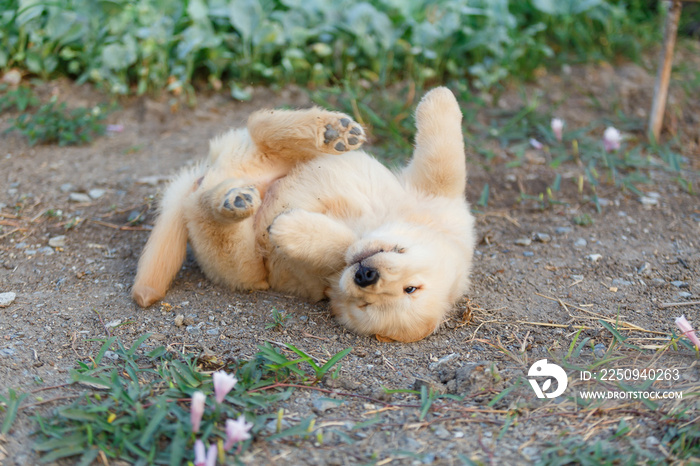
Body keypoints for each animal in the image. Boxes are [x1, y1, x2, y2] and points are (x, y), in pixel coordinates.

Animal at [131, 87, 476, 342]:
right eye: (412, 287)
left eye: (367, 305)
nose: (366, 276)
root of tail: (207, 176)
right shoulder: (439, 199)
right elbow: (445, 162)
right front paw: (441, 96)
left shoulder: (331, 277)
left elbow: (338, 245)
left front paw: (289, 229)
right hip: (272, 153)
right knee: (262, 124)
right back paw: (331, 130)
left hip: (239, 265)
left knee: (208, 211)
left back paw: (234, 200)